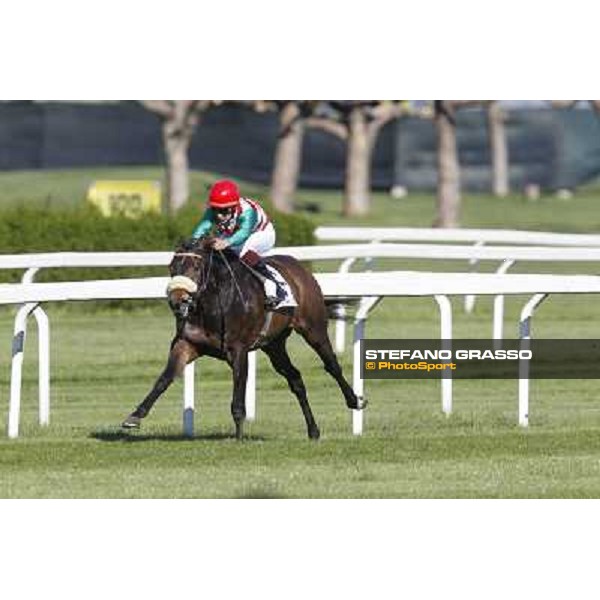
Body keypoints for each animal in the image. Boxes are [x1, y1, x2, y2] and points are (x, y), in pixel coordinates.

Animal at [122, 237, 360, 438]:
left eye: (196, 267)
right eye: (172, 267)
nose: (177, 301)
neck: (212, 305)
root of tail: (300, 268)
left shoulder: (238, 350)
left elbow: (238, 396)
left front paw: (239, 438)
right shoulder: (187, 343)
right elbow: (165, 378)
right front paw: (135, 416)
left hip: (313, 329)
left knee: (332, 364)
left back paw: (355, 400)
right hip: (274, 345)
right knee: (295, 378)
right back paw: (313, 430)